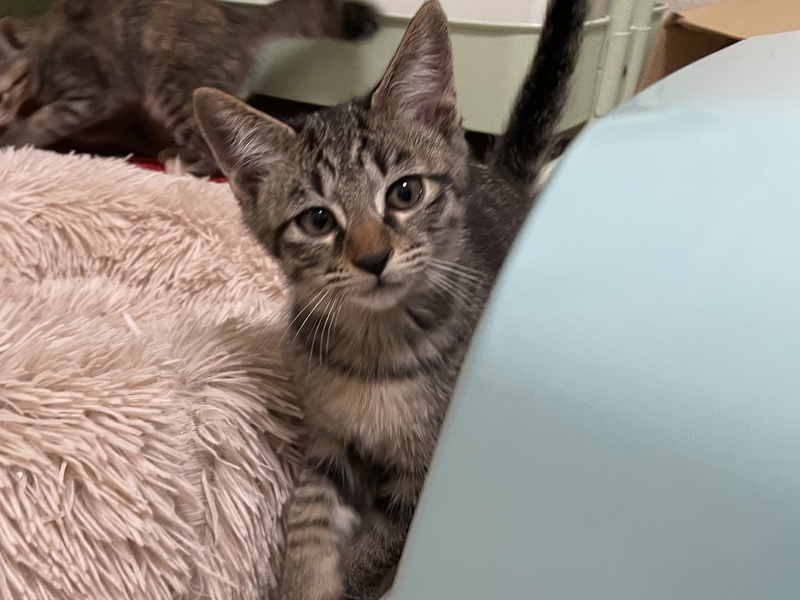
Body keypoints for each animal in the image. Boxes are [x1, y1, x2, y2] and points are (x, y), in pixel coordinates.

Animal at [0, 0, 378, 176]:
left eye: (1, 93)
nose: (2, 118)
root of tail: (241, 20)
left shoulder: (87, 95)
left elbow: (42, 121)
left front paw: (13, 140)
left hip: (176, 90)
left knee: (215, 152)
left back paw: (189, 169)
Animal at [192, 0, 587, 597]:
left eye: (405, 192)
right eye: (317, 220)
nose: (374, 258)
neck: (375, 348)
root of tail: (505, 179)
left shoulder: (422, 478)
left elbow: (375, 552)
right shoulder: (329, 446)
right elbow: (306, 521)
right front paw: (300, 580)